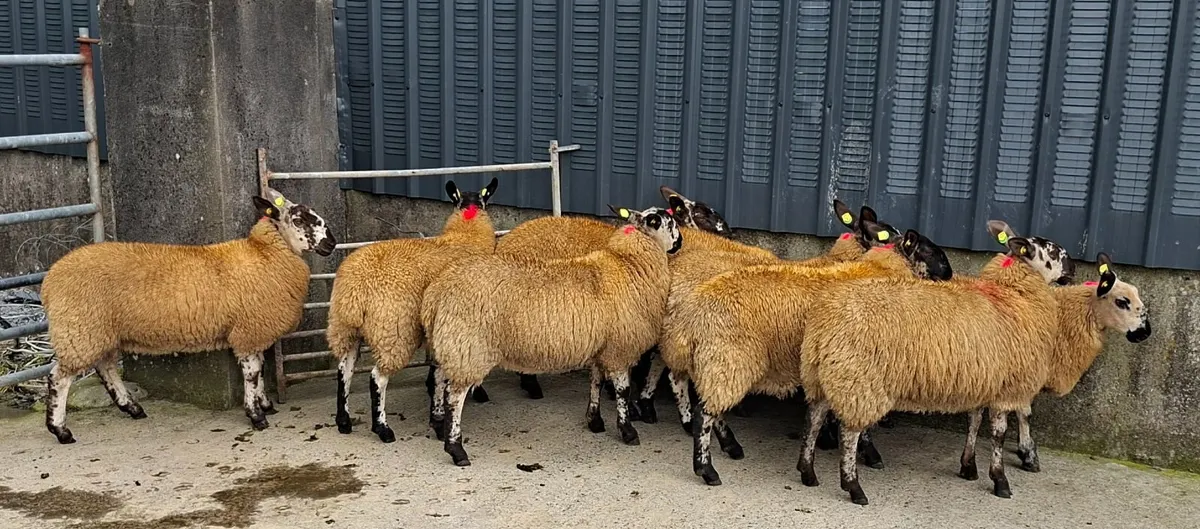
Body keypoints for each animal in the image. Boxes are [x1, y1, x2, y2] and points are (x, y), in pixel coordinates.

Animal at [40, 190, 336, 444]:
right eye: (298, 220)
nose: (331, 243)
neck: (266, 254)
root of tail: (49, 281)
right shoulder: (248, 330)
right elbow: (252, 373)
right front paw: (257, 416)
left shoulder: (252, 330)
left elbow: (260, 369)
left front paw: (265, 404)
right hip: (80, 328)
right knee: (59, 378)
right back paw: (61, 430)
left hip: (99, 331)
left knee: (106, 367)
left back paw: (132, 408)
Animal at [326, 178, 498, 443]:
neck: (465, 235)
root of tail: (356, 291)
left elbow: (437, 371)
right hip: (394, 331)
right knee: (377, 378)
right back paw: (383, 428)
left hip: (345, 328)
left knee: (345, 370)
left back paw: (343, 421)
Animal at [420, 205, 682, 466]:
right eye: (669, 223)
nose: (680, 243)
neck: (628, 265)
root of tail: (437, 290)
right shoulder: (619, 349)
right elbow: (623, 392)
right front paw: (627, 431)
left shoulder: (601, 346)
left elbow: (595, 382)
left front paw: (595, 421)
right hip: (469, 346)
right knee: (455, 396)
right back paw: (456, 448)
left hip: (452, 342)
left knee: (439, 380)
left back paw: (438, 423)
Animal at [678, 224, 953, 486]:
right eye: (933, 252)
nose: (950, 275)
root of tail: (695, 314)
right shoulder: (862, 368)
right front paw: (869, 453)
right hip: (728, 358)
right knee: (703, 414)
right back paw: (707, 469)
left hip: (718, 362)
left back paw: (729, 447)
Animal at [795, 232, 1149, 505]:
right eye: (1051, 250)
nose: (1145, 332)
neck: (1015, 295)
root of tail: (827, 317)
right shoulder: (1010, 382)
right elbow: (999, 433)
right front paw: (1002, 478)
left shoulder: (984, 377)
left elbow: (974, 422)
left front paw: (969, 467)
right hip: (859, 379)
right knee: (849, 432)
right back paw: (853, 486)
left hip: (823, 373)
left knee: (814, 418)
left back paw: (808, 471)